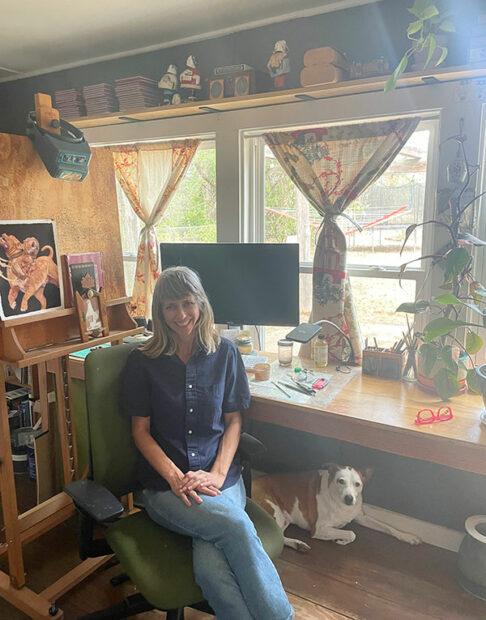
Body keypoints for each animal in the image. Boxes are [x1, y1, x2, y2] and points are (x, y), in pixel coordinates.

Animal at [251, 462, 422, 548]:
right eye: (341, 481)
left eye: (358, 484)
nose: (349, 498)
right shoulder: (319, 529)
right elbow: (351, 533)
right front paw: (342, 540)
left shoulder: (361, 516)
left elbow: (388, 527)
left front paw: (408, 536)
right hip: (275, 513)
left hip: (283, 518)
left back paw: (298, 544)